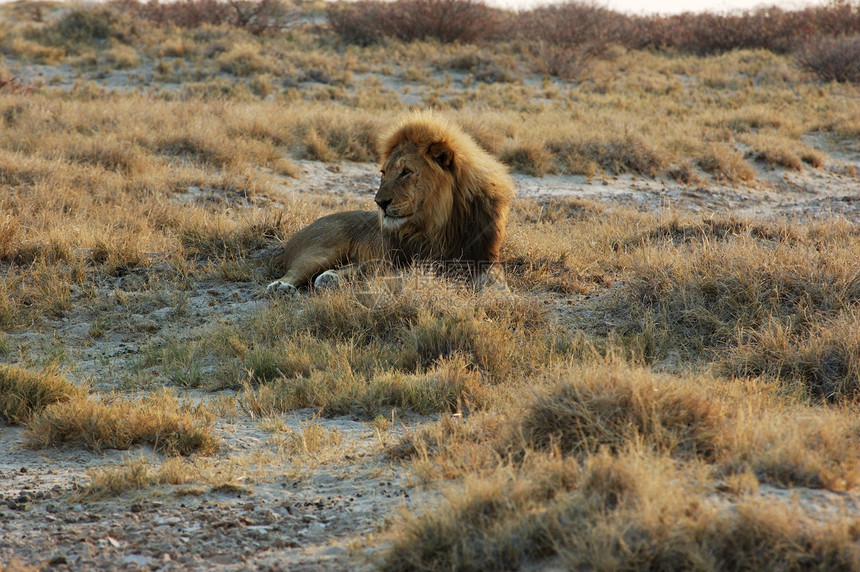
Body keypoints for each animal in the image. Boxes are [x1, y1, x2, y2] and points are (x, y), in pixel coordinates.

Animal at [266, 111, 512, 298]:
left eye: (406, 172)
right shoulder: (409, 260)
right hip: (322, 250)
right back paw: (282, 287)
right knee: (298, 271)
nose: (380, 203)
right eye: (384, 173)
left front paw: (504, 295)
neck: (439, 223)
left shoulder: (484, 256)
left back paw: (329, 279)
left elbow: (496, 279)